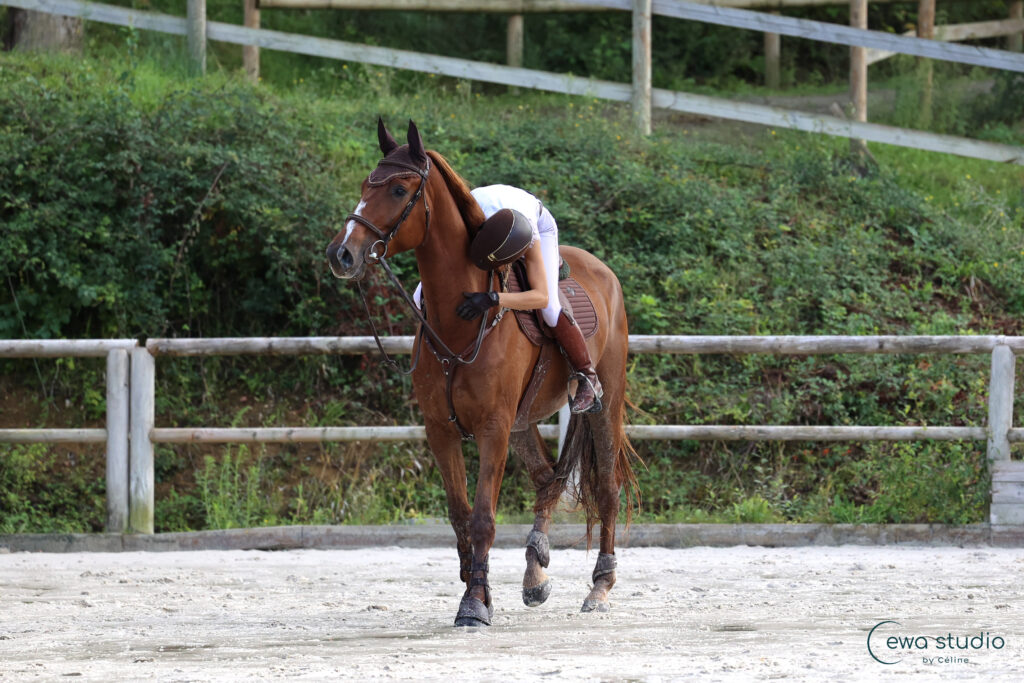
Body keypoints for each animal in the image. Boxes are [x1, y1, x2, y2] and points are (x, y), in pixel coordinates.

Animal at [323, 120, 634, 626]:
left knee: (606, 487)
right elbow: (459, 515)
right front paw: (479, 589)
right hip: (523, 422)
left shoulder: (492, 428)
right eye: (365, 185)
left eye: (397, 189)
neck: (460, 322)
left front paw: (473, 605)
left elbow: (483, 517)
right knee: (545, 481)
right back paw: (535, 573)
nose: (341, 254)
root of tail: (602, 270)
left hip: (601, 406)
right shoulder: (441, 430)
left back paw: (600, 587)